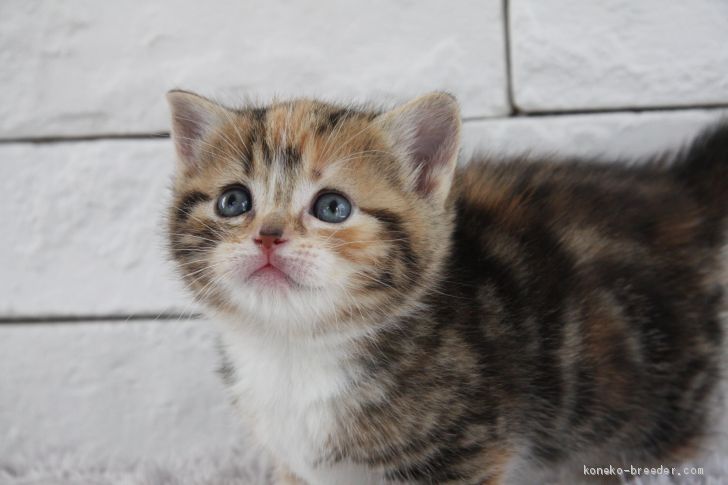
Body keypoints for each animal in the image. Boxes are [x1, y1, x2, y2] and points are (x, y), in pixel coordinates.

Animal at [166, 91, 728, 484]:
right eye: (234, 202)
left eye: (332, 207)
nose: (268, 235)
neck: (293, 350)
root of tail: (678, 191)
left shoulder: (466, 452)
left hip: (650, 417)